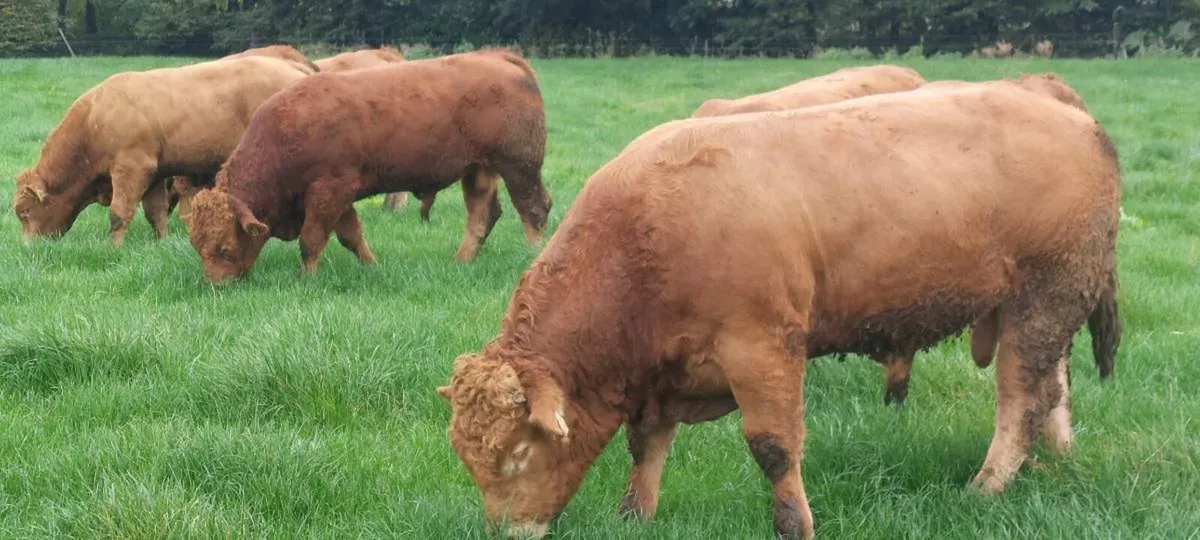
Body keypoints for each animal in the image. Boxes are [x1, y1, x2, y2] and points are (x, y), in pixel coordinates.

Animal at [13, 56, 312, 245]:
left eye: (24, 212)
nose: (28, 249)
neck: (94, 118)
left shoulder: (131, 168)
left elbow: (119, 214)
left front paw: (113, 248)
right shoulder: (155, 174)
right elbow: (155, 212)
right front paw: (162, 243)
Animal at [436, 82, 1122, 539]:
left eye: (517, 454)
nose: (504, 531)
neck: (644, 236)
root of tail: (1051, 96)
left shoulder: (762, 349)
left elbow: (773, 447)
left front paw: (795, 523)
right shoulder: (663, 372)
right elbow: (646, 442)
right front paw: (635, 515)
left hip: (1045, 296)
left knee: (1023, 397)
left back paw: (987, 486)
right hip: (1043, 306)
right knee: (1055, 386)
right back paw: (1057, 461)